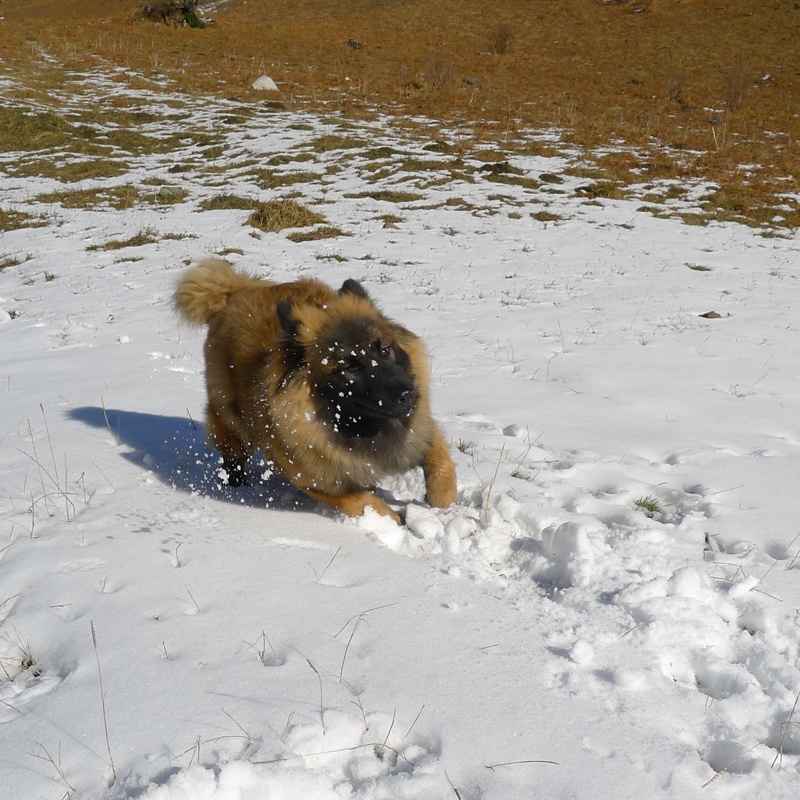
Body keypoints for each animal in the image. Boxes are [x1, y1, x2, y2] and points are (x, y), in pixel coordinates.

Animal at [173, 260, 456, 520]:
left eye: (384, 350)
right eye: (350, 367)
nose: (408, 394)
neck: (360, 428)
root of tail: (236, 292)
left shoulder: (421, 429)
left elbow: (442, 467)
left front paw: (437, 499)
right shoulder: (315, 479)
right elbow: (363, 501)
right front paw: (392, 522)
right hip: (231, 419)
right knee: (232, 456)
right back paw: (237, 486)